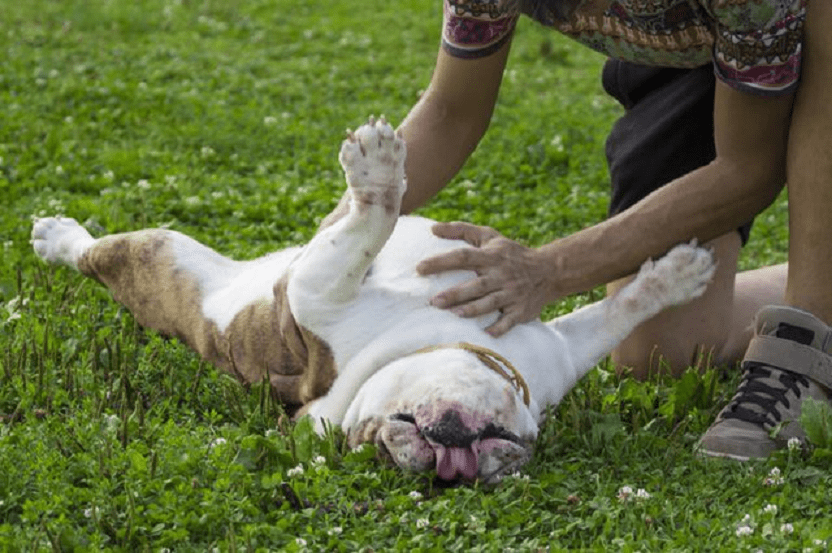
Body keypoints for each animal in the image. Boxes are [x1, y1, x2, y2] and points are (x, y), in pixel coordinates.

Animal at [32, 117, 716, 484]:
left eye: (504, 448)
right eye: (375, 445)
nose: (451, 465)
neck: (433, 339)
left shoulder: (562, 350)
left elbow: (616, 312)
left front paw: (676, 275)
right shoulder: (319, 292)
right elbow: (367, 228)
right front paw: (380, 173)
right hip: (169, 257)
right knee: (97, 253)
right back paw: (57, 237)